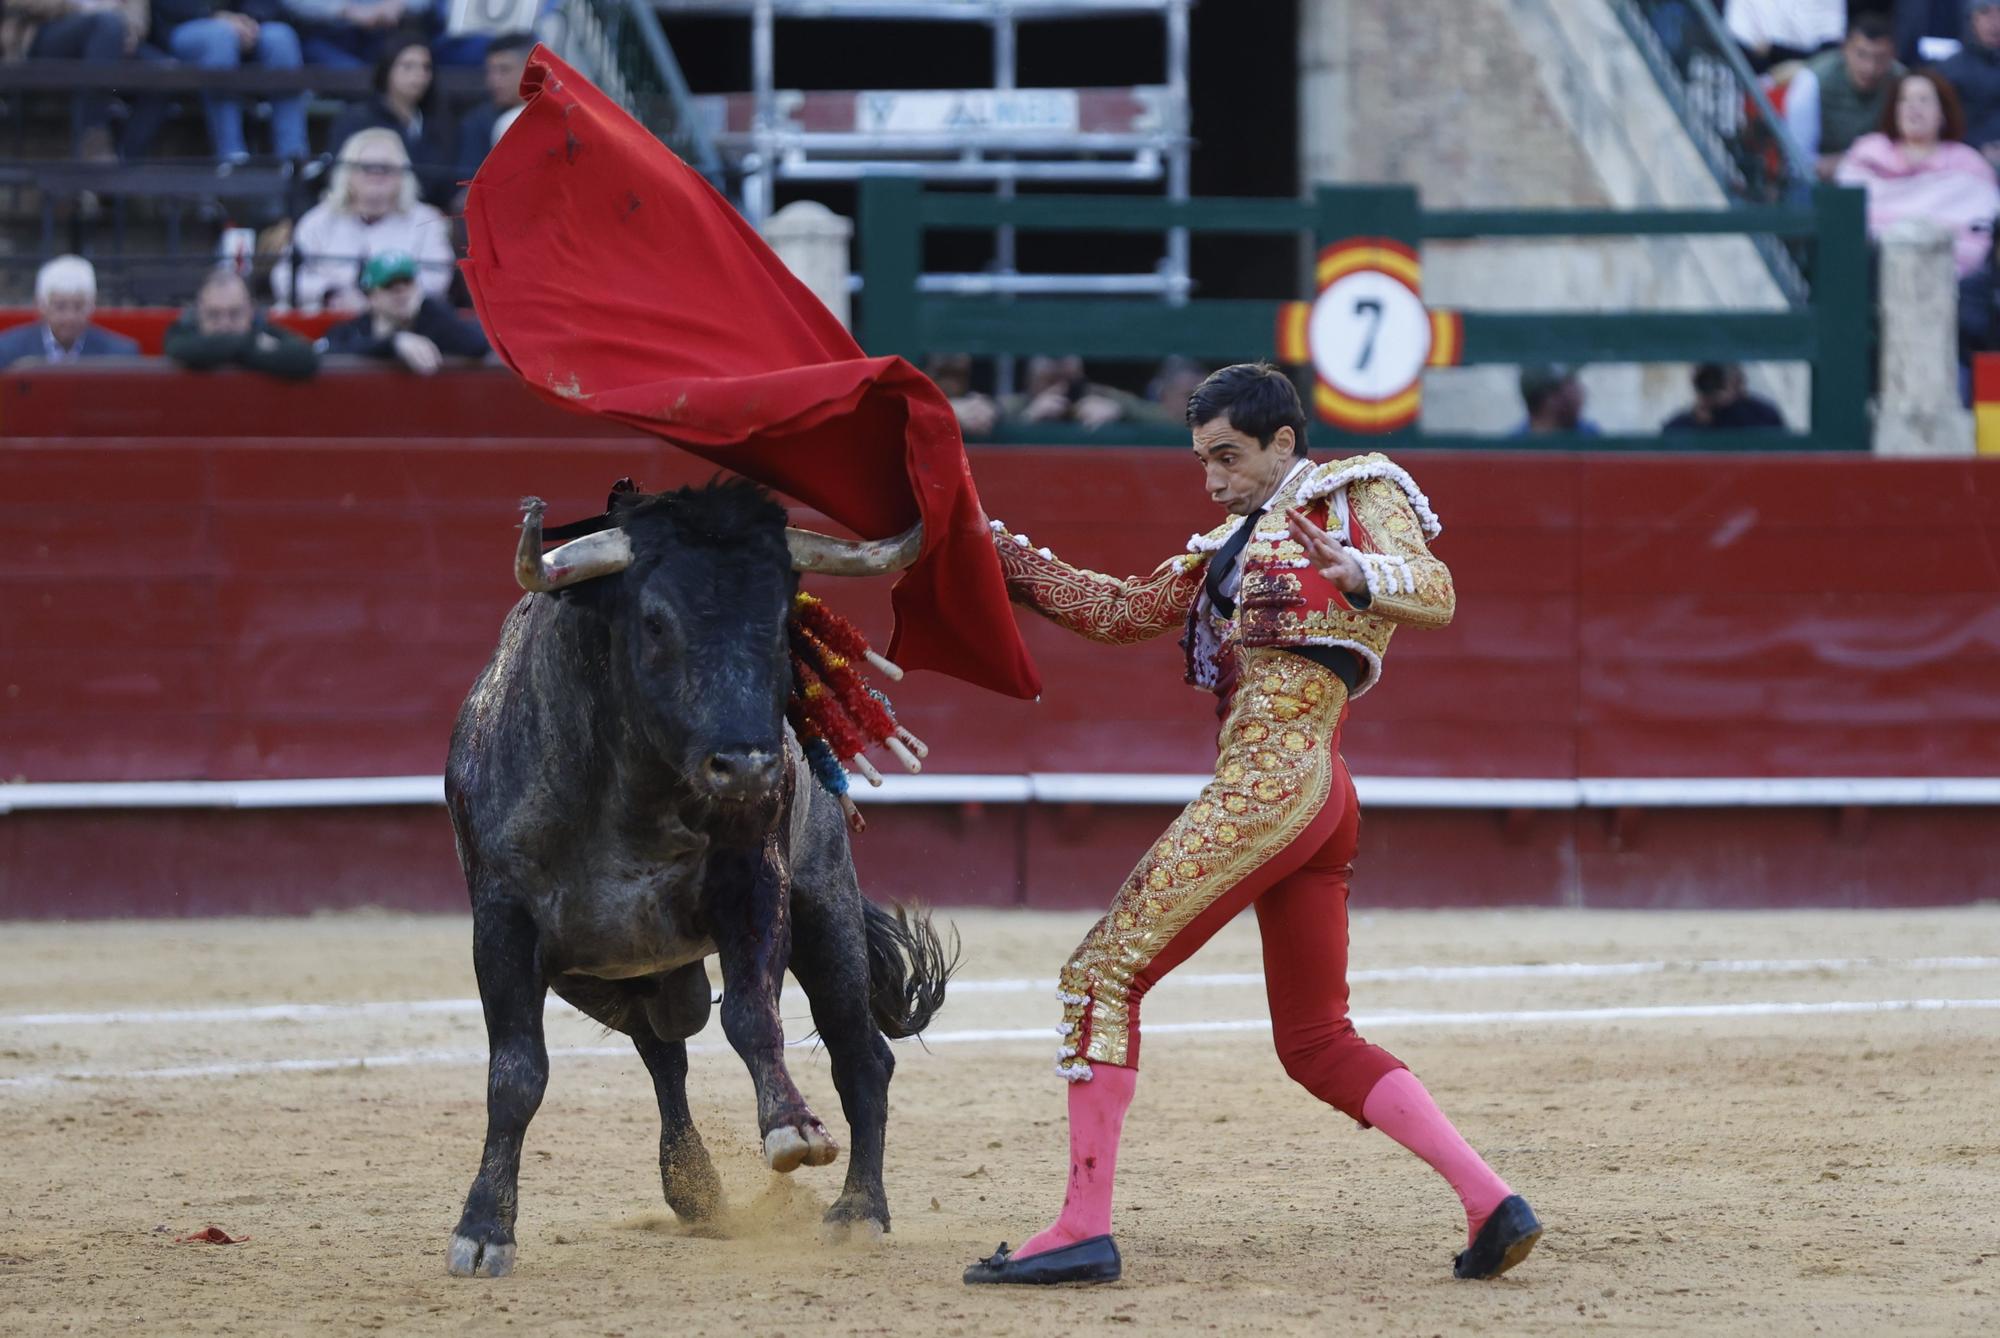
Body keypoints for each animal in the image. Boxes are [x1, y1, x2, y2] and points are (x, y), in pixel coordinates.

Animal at [444, 480, 952, 1272]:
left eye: (779, 619)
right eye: (654, 621)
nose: (748, 766)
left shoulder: (756, 885)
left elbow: (752, 1015)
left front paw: (792, 1129)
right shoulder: (502, 921)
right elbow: (517, 1073)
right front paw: (484, 1228)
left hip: (823, 906)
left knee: (860, 1055)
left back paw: (858, 1209)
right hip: (602, 975)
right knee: (664, 1047)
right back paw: (695, 1187)